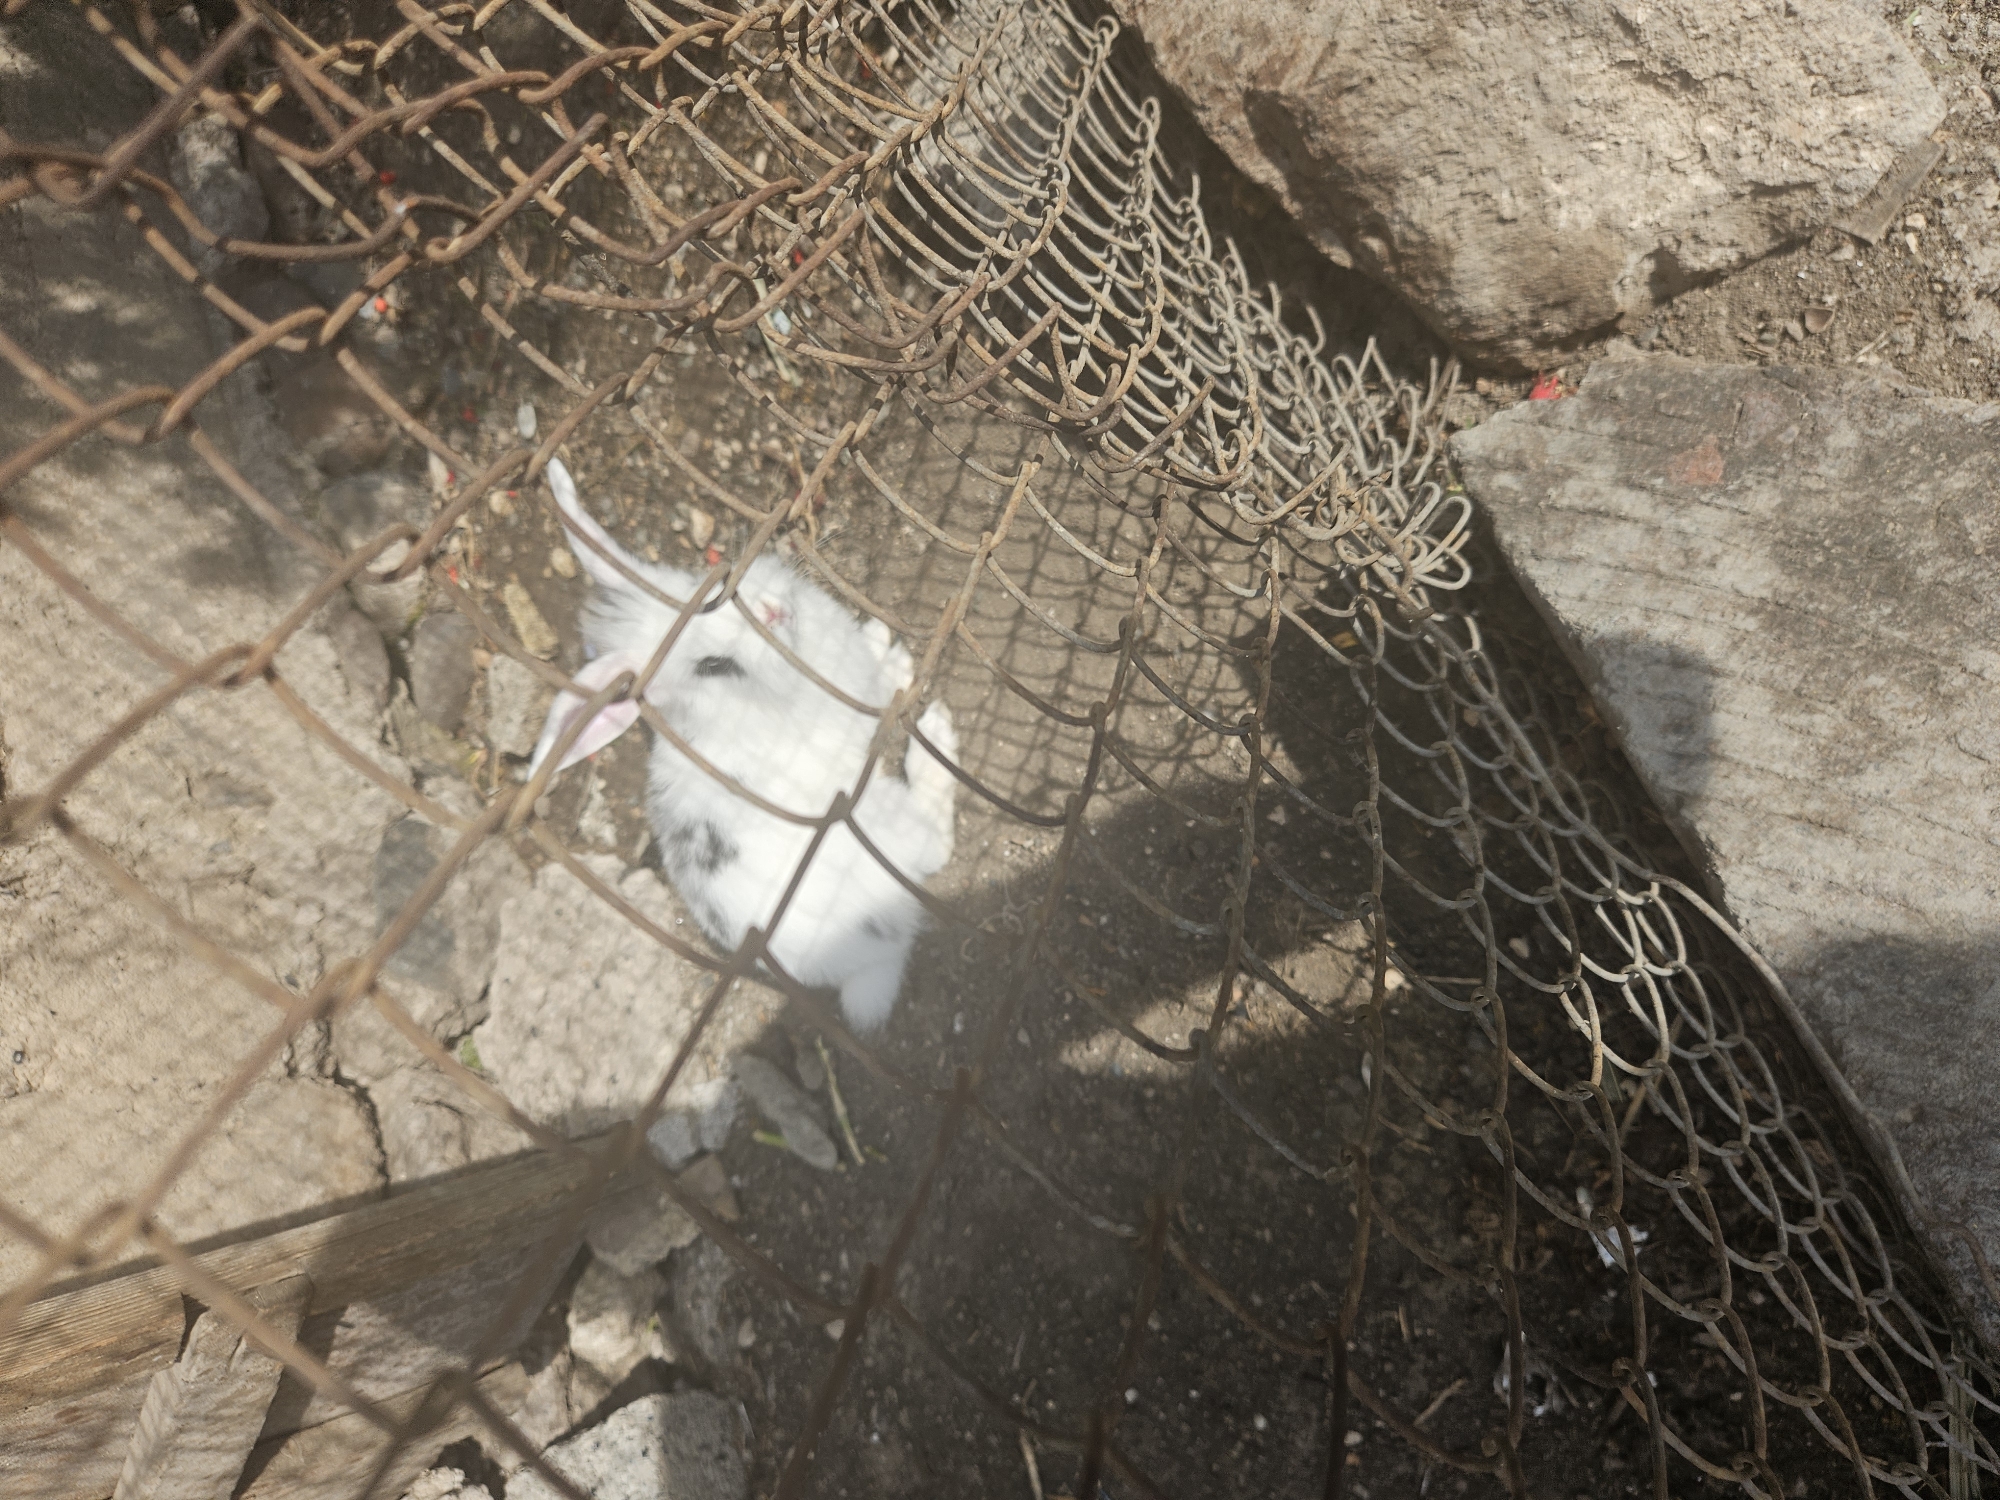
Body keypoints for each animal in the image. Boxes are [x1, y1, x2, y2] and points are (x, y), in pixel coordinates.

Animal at [526, 458, 958, 1031]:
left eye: (710, 589)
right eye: (715, 666)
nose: (773, 613)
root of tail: (866, 959)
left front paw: (878, 640)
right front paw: (894, 660)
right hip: (873, 814)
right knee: (936, 843)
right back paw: (937, 735)